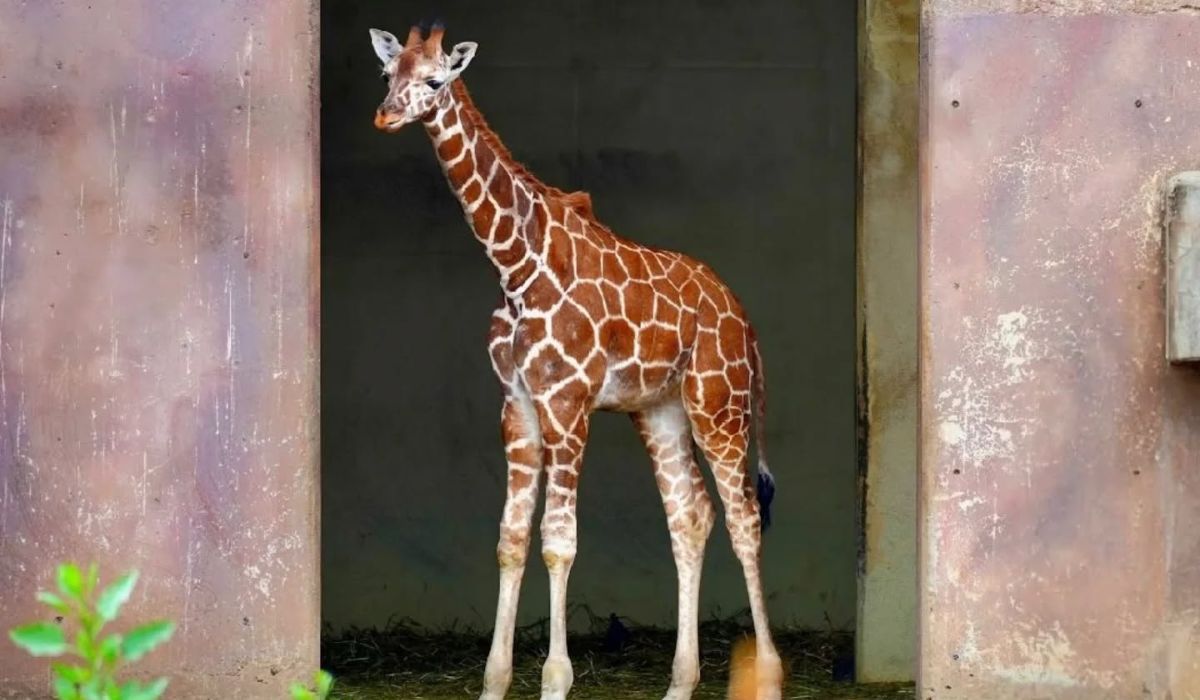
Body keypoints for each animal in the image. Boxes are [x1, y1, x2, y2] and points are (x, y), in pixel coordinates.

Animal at [369, 24, 783, 700]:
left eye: (434, 80)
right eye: (387, 74)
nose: (385, 115)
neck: (516, 267)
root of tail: (744, 321)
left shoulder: (568, 403)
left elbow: (558, 543)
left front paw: (556, 679)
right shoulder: (517, 406)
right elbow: (511, 540)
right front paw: (494, 680)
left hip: (719, 405)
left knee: (744, 516)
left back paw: (768, 673)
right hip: (661, 410)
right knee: (690, 516)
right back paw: (679, 682)